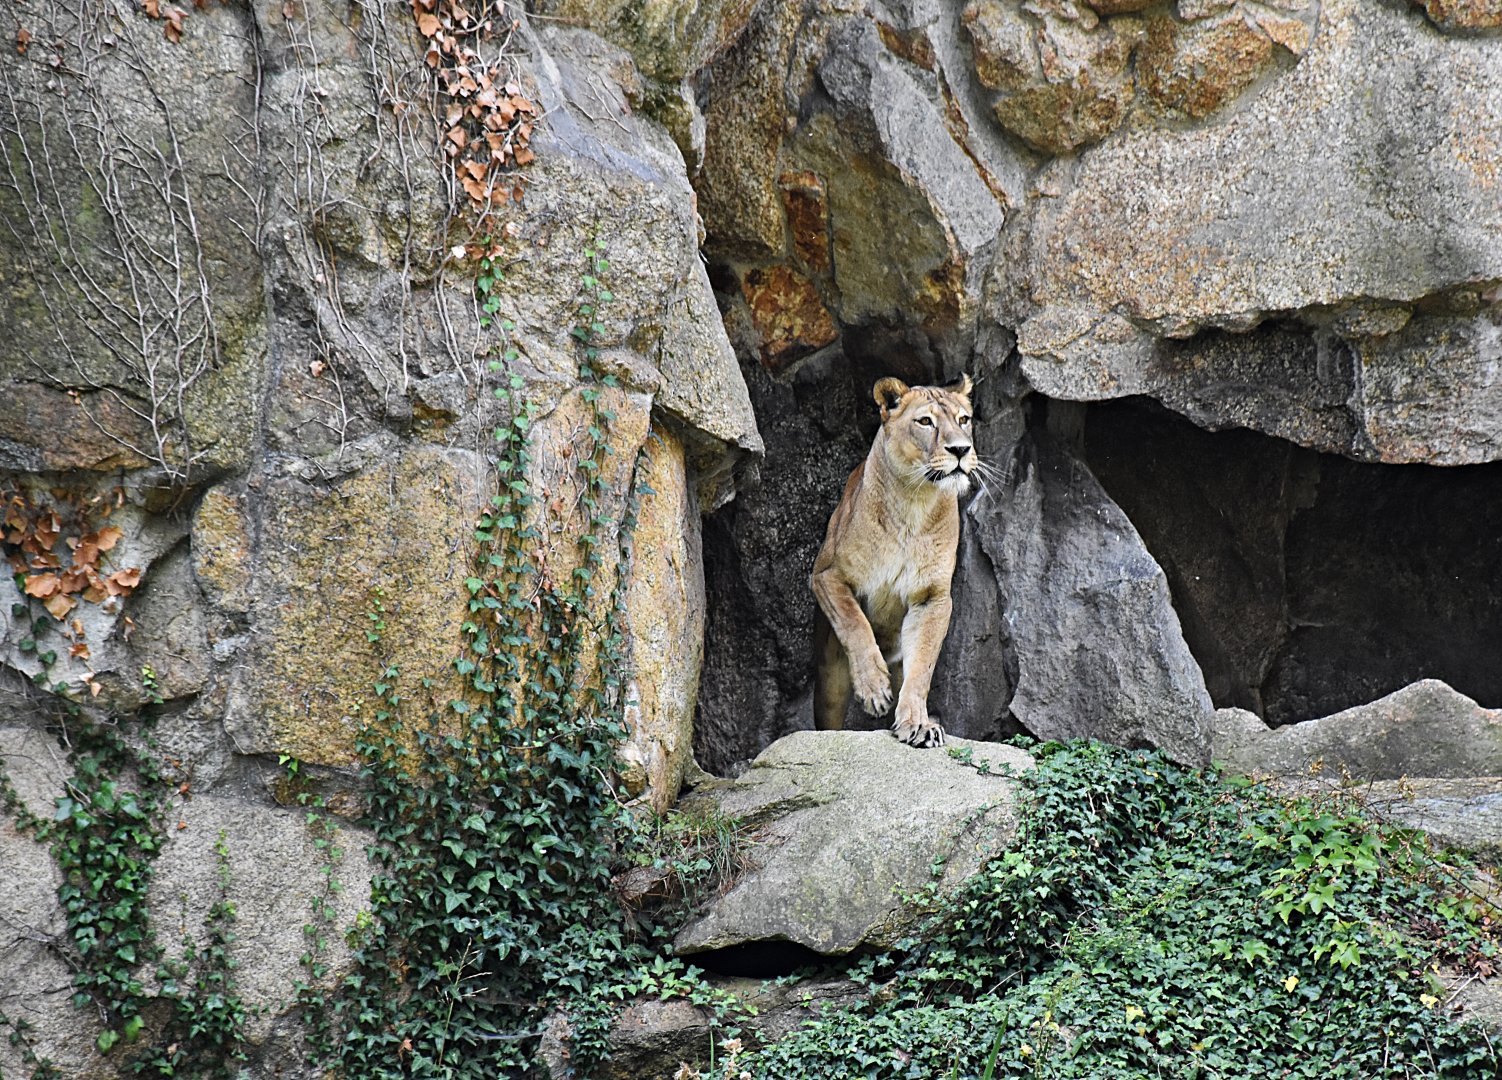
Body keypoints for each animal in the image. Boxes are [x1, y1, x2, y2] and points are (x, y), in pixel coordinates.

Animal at [810, 374, 977, 747]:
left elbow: (922, 668)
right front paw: (874, 689)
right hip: (830, 675)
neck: (914, 502)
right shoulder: (827, 576)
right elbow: (855, 623)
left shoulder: (932, 597)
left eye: (964, 420)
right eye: (925, 422)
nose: (961, 450)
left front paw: (918, 723)